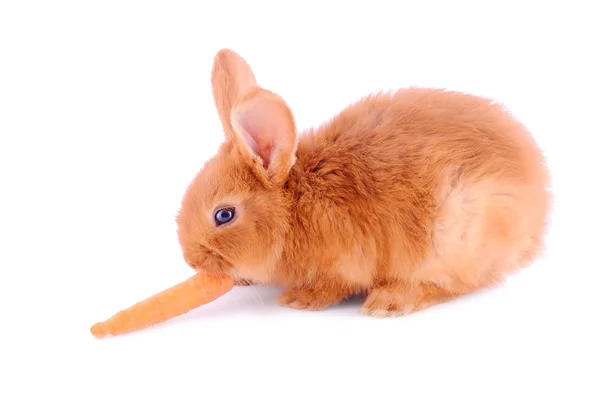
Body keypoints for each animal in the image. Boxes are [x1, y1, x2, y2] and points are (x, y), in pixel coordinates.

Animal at [175, 48, 552, 316]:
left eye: (224, 215)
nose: (192, 262)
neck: (294, 206)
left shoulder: (344, 264)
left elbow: (331, 287)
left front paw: (299, 299)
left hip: (455, 233)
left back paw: (390, 301)